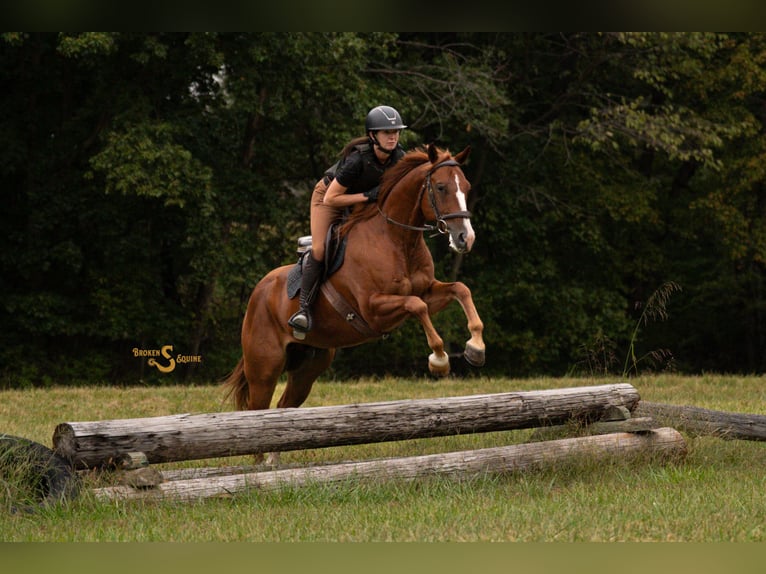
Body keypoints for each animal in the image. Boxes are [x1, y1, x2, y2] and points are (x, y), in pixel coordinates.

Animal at [223, 144, 485, 452]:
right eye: (441, 187)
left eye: (466, 187)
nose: (465, 238)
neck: (397, 239)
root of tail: (258, 293)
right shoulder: (374, 309)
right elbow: (416, 305)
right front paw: (439, 359)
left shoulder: (428, 290)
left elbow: (460, 289)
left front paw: (475, 348)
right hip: (264, 368)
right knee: (257, 413)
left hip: (309, 364)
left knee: (284, 407)